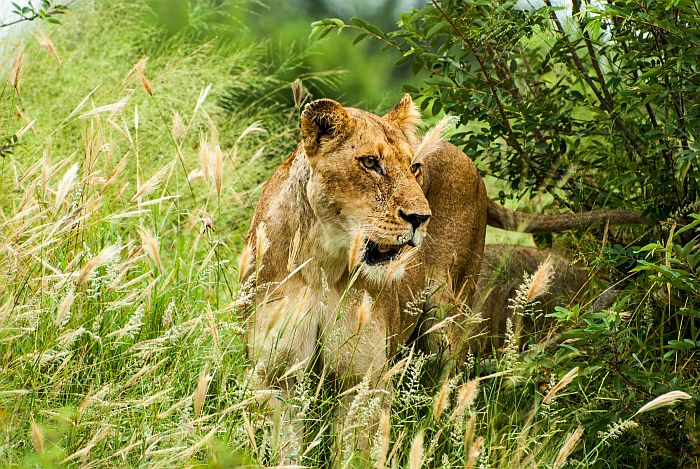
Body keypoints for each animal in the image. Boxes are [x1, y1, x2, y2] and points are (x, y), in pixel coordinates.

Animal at [242, 94, 645, 455]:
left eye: (415, 167)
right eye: (370, 162)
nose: (421, 218)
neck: (324, 262)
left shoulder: (365, 381)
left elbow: (358, 452)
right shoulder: (274, 378)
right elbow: (285, 450)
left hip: (448, 320)